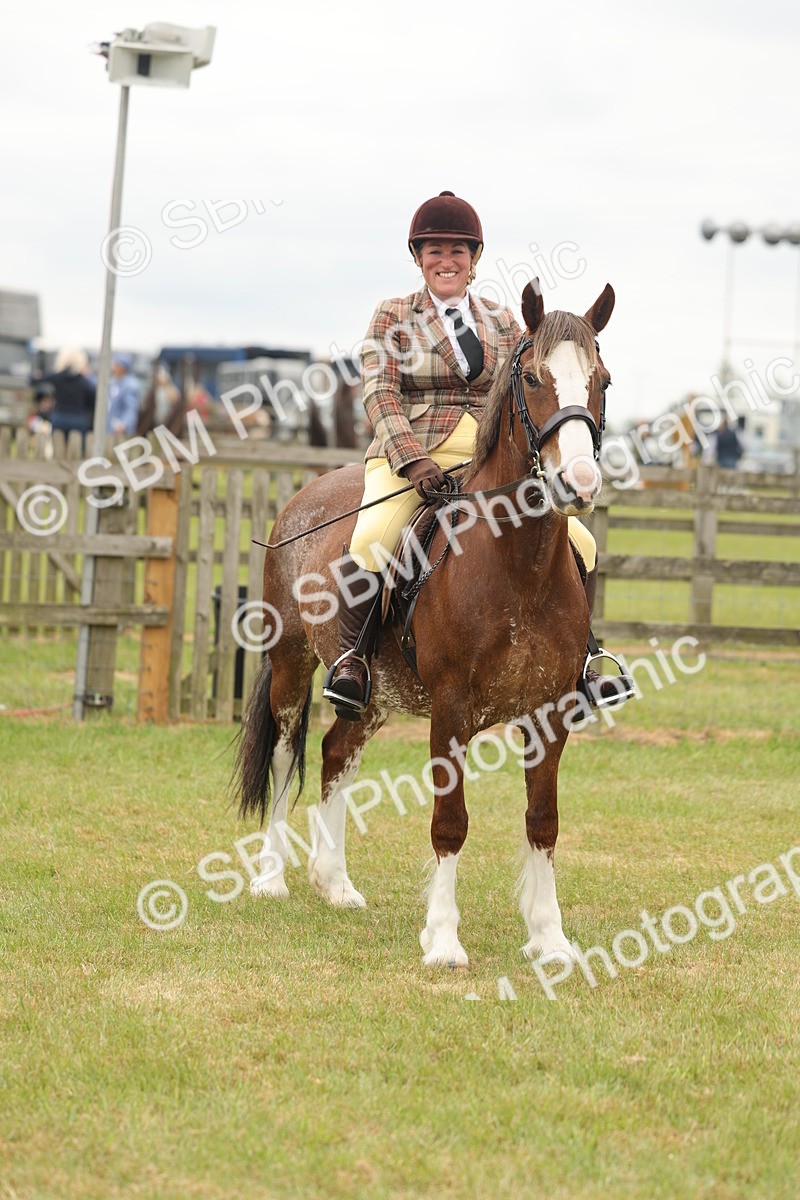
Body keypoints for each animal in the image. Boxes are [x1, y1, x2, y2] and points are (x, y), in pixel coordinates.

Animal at [233, 279, 615, 967]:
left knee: (336, 753)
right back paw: (271, 877)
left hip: (375, 691)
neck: (516, 562)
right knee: (284, 752)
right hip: (291, 662)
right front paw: (442, 939)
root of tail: (305, 496)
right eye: (533, 377)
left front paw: (549, 938)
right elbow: (450, 822)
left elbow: (542, 821)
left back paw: (336, 883)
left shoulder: (550, 712)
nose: (578, 483)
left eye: (602, 379)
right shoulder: (451, 708)